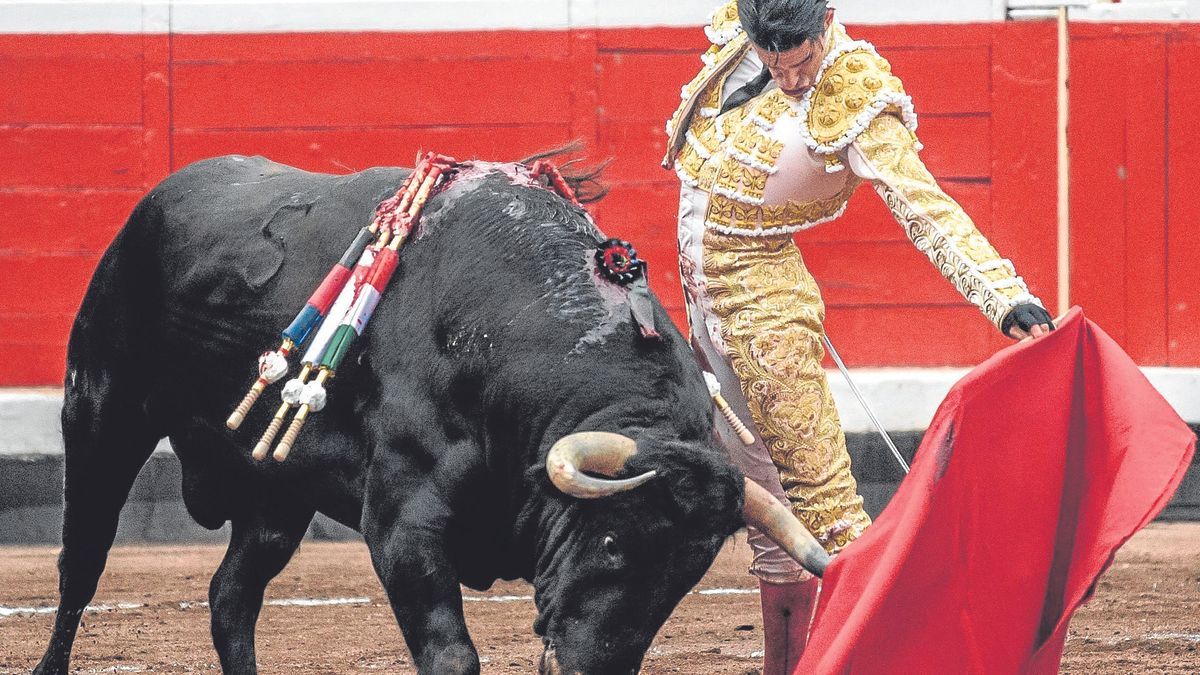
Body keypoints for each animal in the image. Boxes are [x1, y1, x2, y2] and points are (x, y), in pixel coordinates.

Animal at [35, 154, 825, 667]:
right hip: (101, 412)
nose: (590, 664)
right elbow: (450, 653)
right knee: (82, 566)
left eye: (684, 576)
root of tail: (150, 205)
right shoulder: (402, 519)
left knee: (231, 597)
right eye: (611, 543)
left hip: (276, 496)